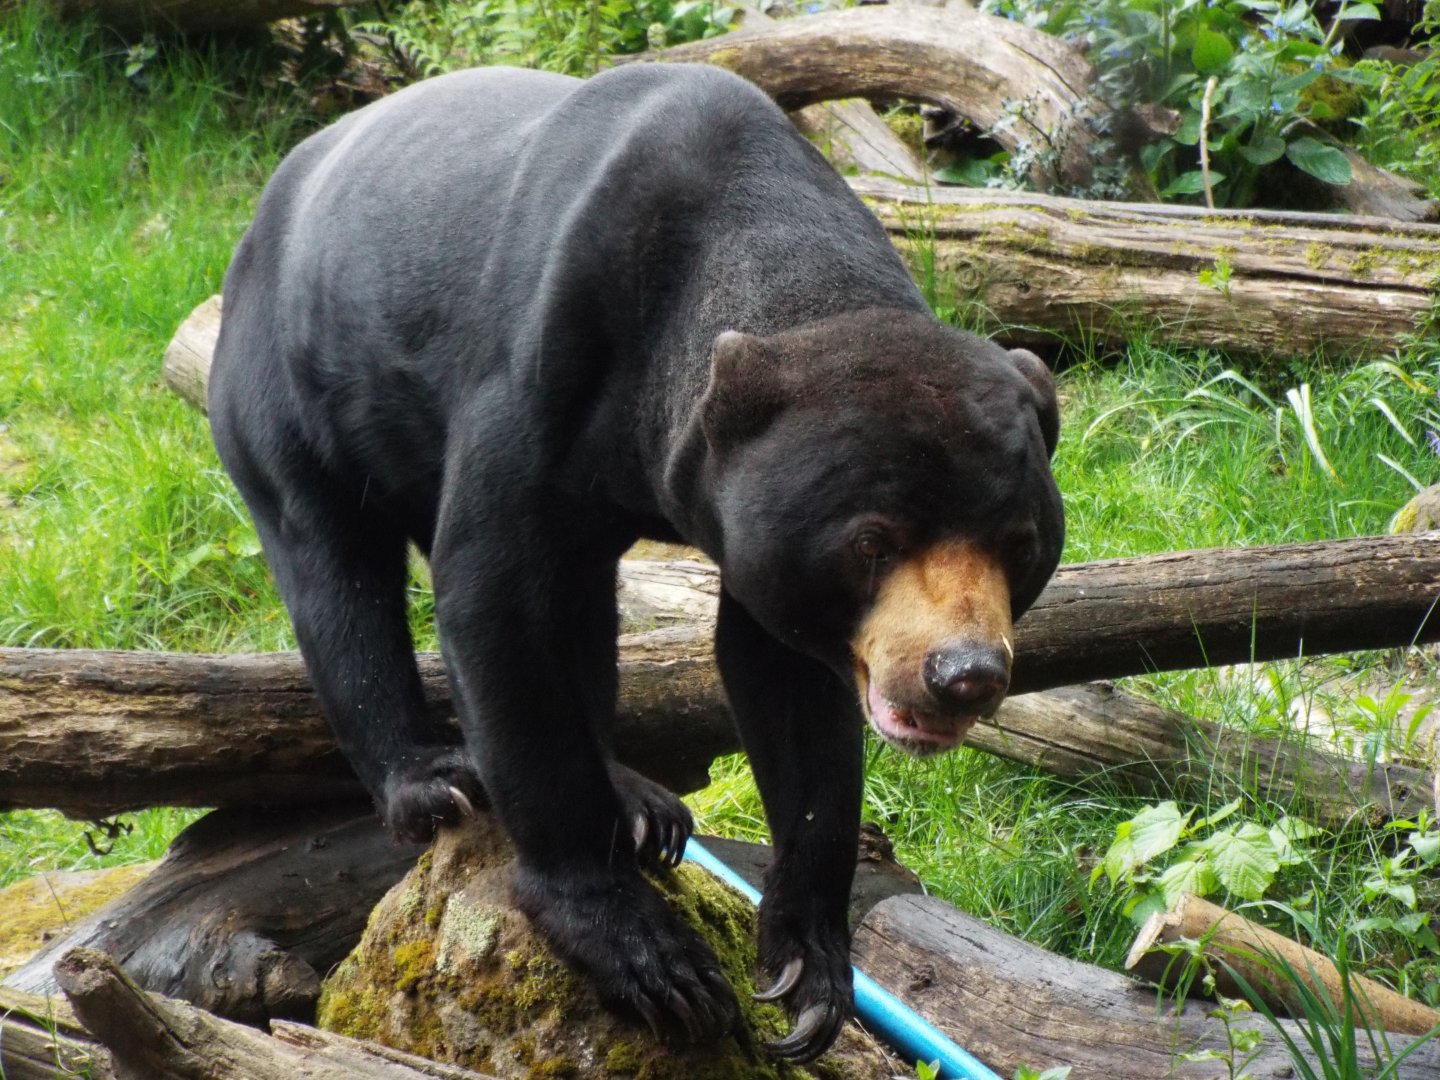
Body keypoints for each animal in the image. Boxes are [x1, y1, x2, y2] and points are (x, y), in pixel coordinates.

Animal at [208, 62, 1064, 1063]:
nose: (962, 676)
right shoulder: (538, 373)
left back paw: (640, 799)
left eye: (1019, 547)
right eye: (872, 542)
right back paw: (432, 780)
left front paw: (810, 975)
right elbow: (496, 600)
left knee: (578, 607)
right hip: (283, 393)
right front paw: (651, 962)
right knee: (336, 575)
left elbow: (783, 684)